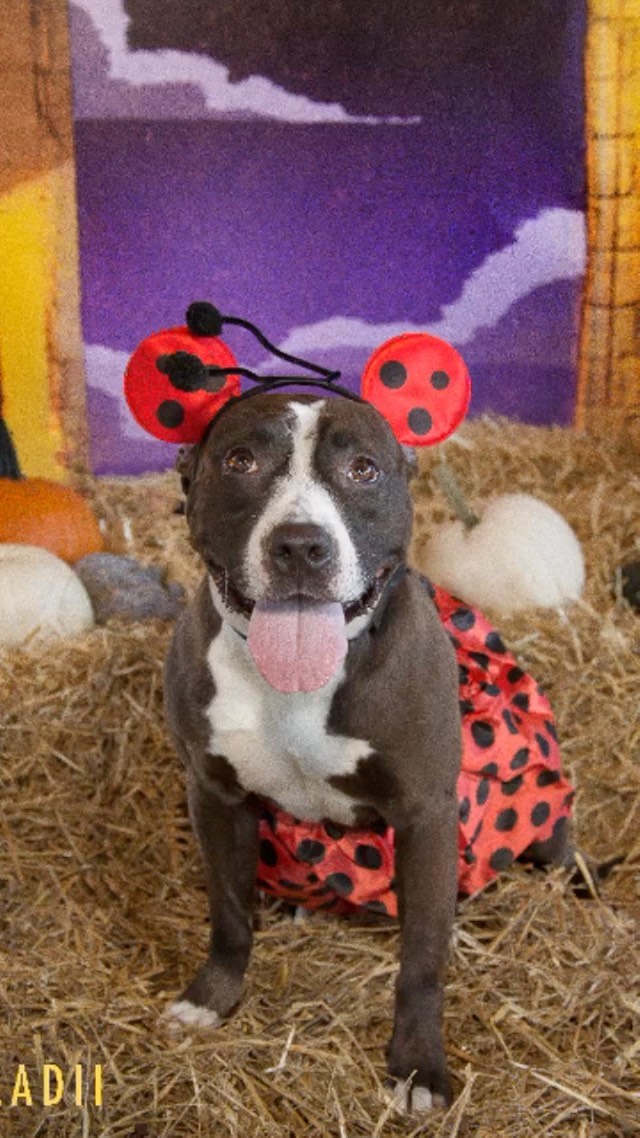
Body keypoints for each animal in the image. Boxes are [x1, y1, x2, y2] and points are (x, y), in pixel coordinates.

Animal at [162, 391, 457, 1110]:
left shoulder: (428, 815)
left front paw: (417, 1065)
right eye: (240, 461)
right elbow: (228, 912)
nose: (299, 546)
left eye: (363, 470)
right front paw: (212, 997)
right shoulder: (213, 796)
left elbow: (422, 957)